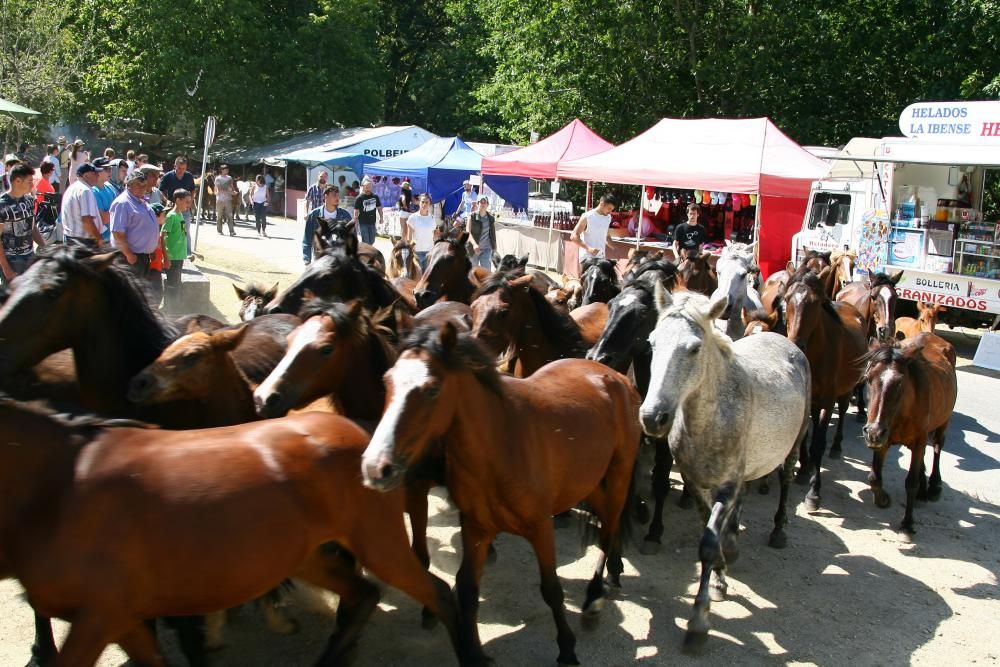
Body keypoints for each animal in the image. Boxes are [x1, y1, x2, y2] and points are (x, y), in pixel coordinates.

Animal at [0, 400, 464, 667]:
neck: (61, 485)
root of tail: (362, 438)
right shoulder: (120, 618)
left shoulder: (99, 617)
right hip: (301, 554)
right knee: (363, 594)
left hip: (376, 541)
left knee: (438, 594)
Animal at [360, 322, 640, 664]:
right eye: (387, 381)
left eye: (432, 389)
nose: (376, 468)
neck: (500, 445)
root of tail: (616, 377)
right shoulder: (475, 528)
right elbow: (467, 589)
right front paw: (475, 653)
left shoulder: (540, 527)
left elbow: (551, 589)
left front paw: (567, 649)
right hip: (589, 482)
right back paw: (613, 572)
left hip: (618, 475)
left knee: (609, 527)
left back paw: (595, 595)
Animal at [640, 288, 812, 652]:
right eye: (652, 343)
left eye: (693, 348)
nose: (653, 417)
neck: (712, 417)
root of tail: (783, 339)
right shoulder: (694, 483)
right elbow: (710, 530)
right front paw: (721, 570)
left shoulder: (727, 486)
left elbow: (708, 542)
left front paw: (698, 622)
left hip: (794, 443)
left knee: (786, 479)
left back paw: (778, 531)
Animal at [780, 268, 868, 512]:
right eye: (786, 299)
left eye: (815, 303)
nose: (796, 345)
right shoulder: (808, 399)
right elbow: (806, 436)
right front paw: (803, 469)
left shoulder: (828, 401)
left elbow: (818, 443)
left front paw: (814, 492)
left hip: (845, 389)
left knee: (843, 409)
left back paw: (836, 445)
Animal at [864, 334, 956, 536]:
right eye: (868, 378)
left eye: (899, 382)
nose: (872, 431)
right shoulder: (883, 440)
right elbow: (874, 478)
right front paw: (883, 499)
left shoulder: (919, 441)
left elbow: (910, 483)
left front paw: (907, 524)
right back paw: (923, 490)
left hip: (943, 422)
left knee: (937, 446)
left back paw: (934, 486)